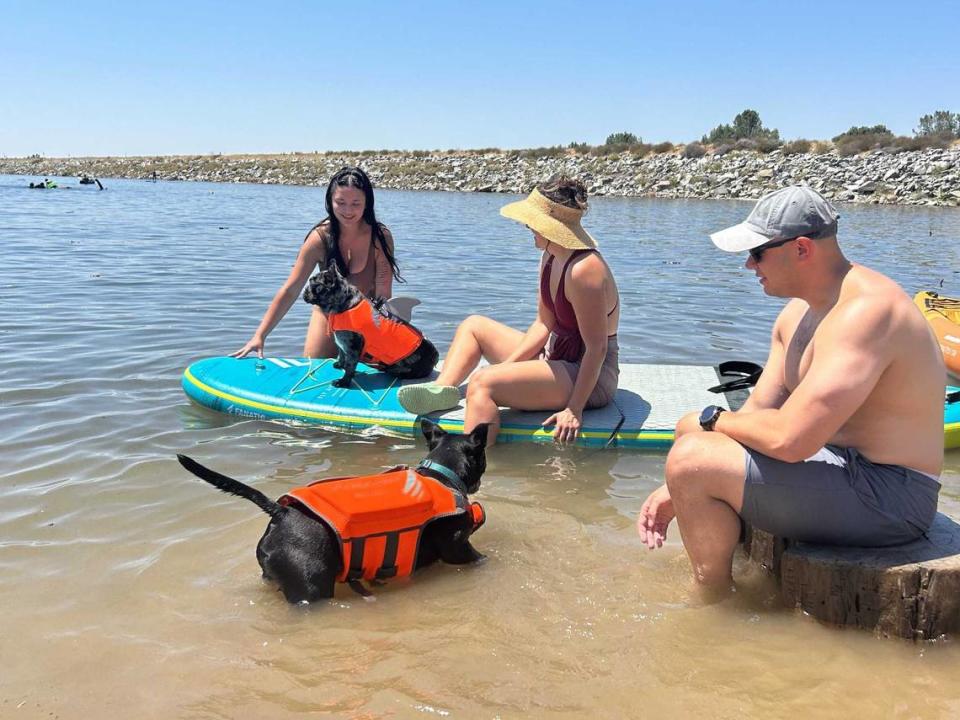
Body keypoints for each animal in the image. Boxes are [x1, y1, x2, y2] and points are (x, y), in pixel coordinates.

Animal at [302, 264, 440, 388]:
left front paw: (343, 382)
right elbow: (342, 354)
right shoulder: (341, 342)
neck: (344, 305)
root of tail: (435, 357)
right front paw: (340, 364)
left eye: (315, 286)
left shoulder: (352, 348)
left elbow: (350, 366)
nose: (305, 291)